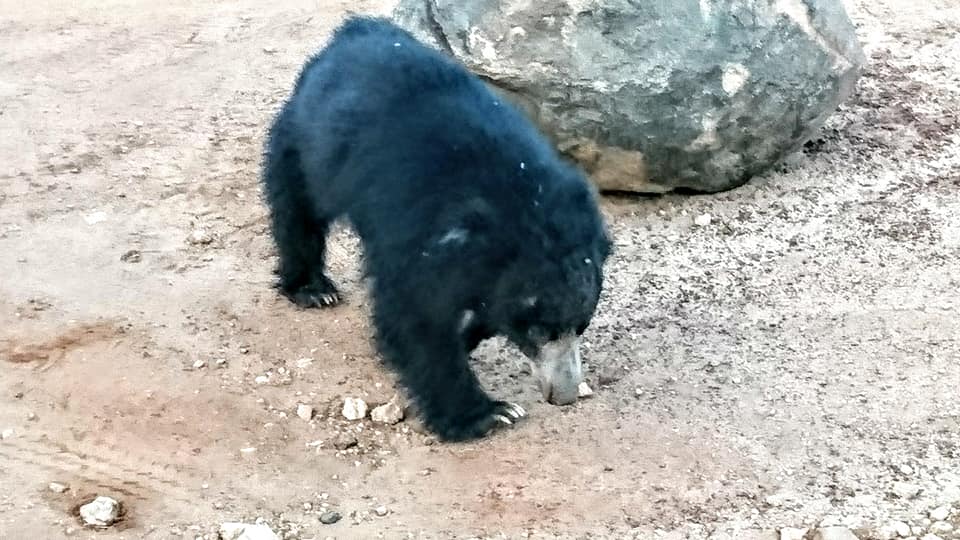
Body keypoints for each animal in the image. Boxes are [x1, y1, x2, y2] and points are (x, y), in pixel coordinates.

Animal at [261, 16, 611, 441]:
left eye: (582, 326)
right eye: (539, 332)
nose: (563, 396)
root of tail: (355, 29)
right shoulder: (415, 224)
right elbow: (416, 314)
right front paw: (490, 413)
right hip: (304, 141)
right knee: (297, 208)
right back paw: (313, 289)